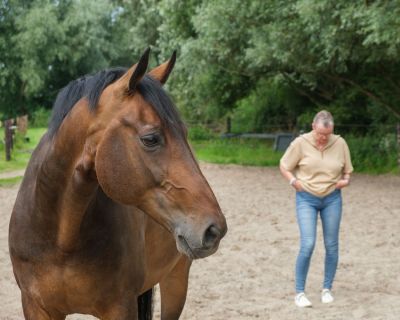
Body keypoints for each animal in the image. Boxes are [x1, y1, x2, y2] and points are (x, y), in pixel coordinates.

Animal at [9, 48, 227, 320]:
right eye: (150, 138)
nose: (214, 229)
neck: (61, 239)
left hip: (176, 280)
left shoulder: (120, 307)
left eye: (185, 133)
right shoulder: (35, 307)